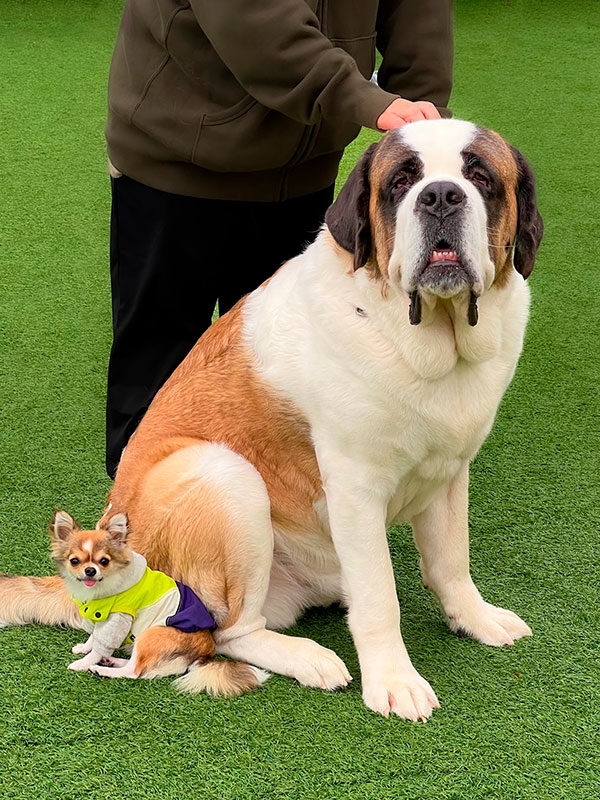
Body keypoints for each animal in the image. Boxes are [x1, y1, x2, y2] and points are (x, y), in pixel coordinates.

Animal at [50, 512, 266, 692]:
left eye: (104, 561)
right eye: (74, 561)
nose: (90, 570)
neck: (103, 588)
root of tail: (204, 654)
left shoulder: (118, 619)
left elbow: (100, 645)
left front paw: (83, 662)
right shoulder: (101, 617)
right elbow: (94, 637)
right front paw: (85, 648)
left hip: (150, 635)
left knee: (134, 671)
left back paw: (103, 669)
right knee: (136, 665)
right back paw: (111, 661)